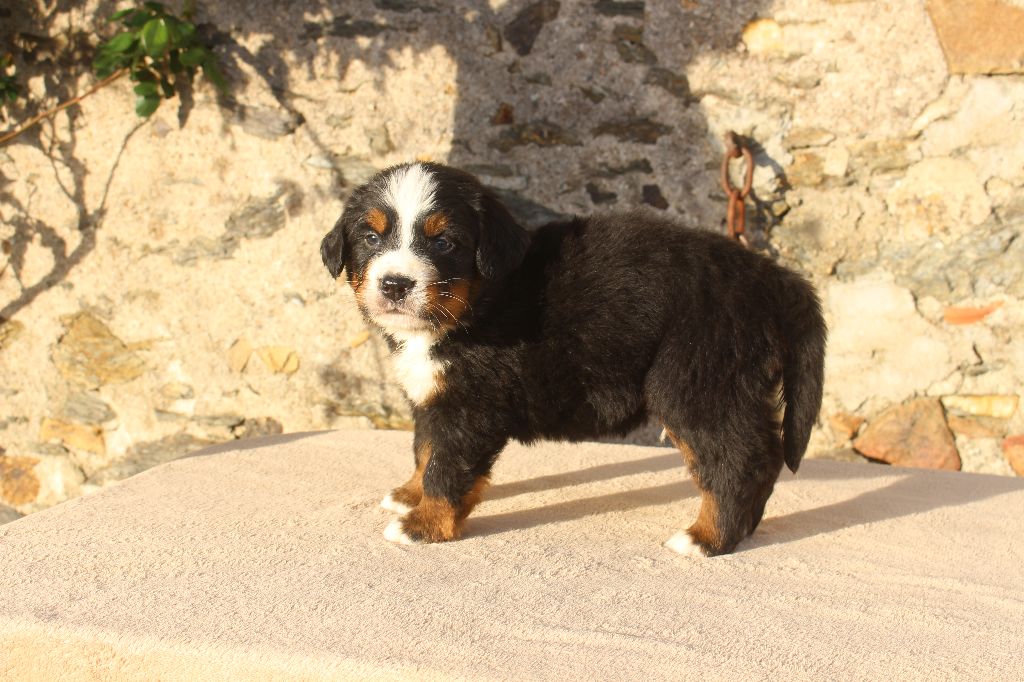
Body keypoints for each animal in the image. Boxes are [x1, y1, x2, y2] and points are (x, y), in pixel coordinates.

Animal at [320, 161, 826, 556]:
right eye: (371, 236)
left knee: (740, 460)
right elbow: (425, 449)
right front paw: (410, 495)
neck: (480, 302)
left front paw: (424, 525)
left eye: (443, 242)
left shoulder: (470, 406)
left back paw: (707, 538)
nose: (395, 284)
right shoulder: (434, 396)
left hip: (697, 383)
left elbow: (447, 467)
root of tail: (769, 276)